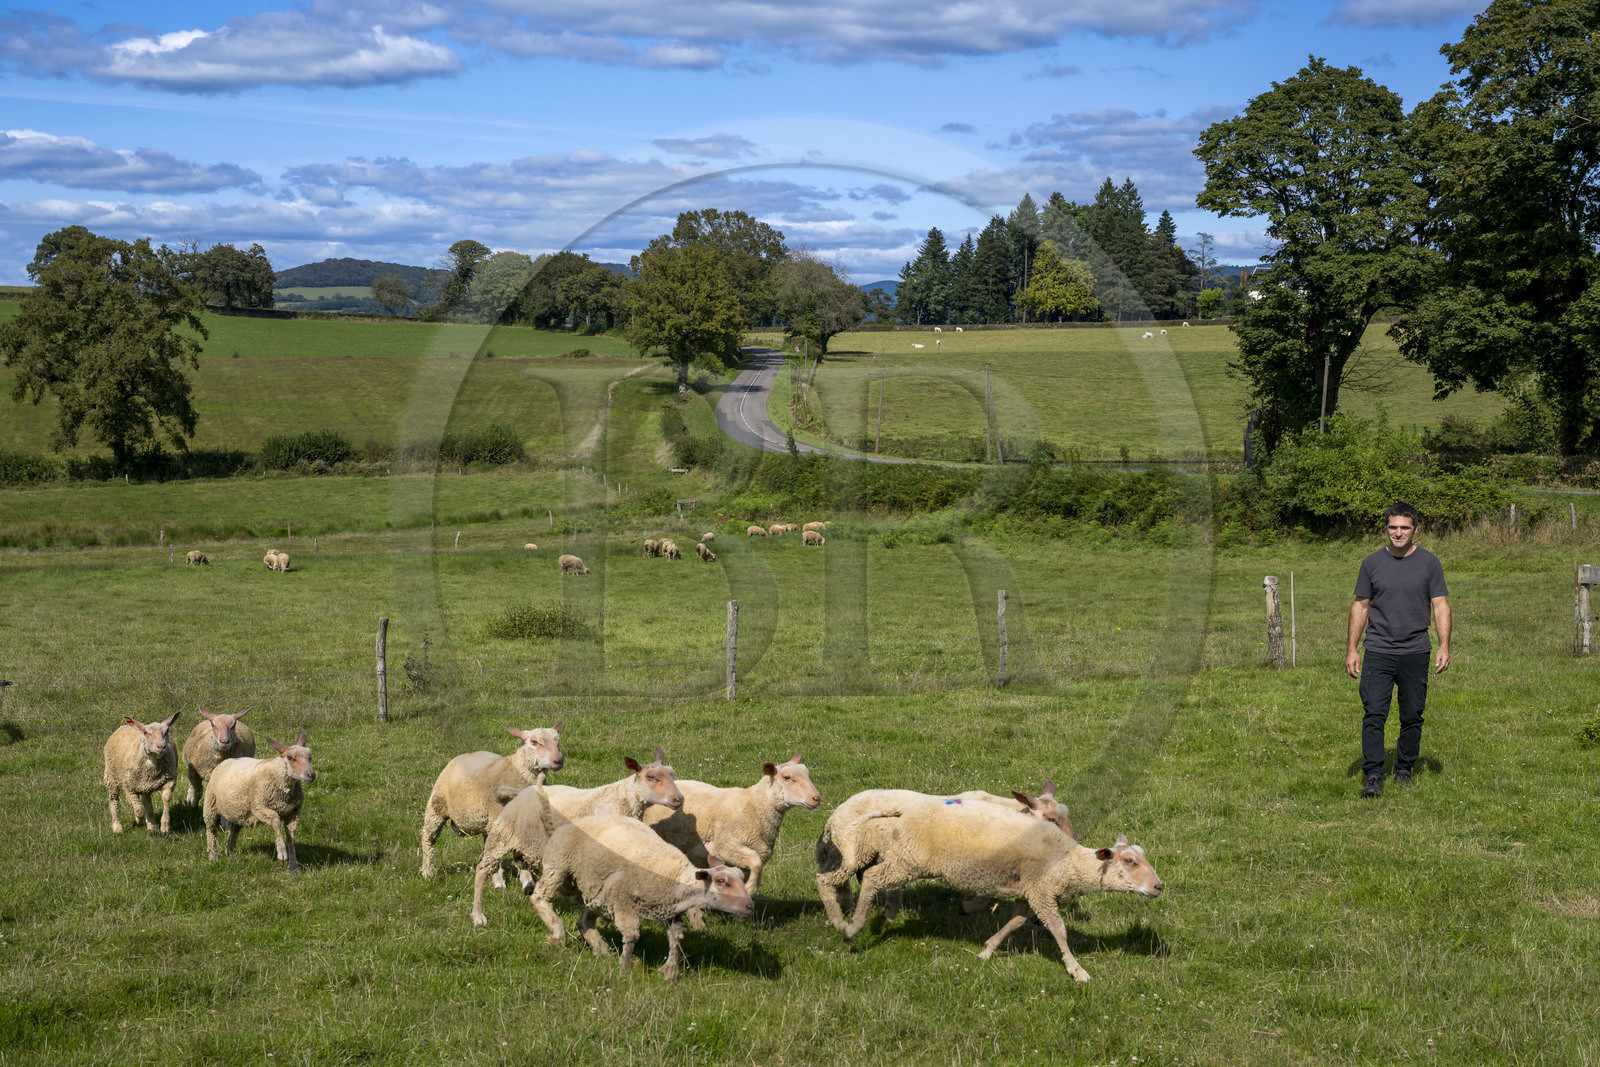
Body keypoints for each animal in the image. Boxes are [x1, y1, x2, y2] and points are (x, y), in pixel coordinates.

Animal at [203, 728, 317, 874]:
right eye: (291, 757)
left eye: (310, 757)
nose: (311, 775)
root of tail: (226, 760)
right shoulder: (259, 807)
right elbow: (276, 821)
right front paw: (282, 853)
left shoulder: (293, 813)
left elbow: (290, 838)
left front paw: (293, 866)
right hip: (211, 805)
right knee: (211, 830)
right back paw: (213, 857)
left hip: (238, 809)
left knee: (234, 829)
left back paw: (229, 852)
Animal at [420, 723, 564, 882]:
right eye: (534, 742)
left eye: (557, 740)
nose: (558, 761)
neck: (514, 769)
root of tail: (466, 754)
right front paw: (500, 881)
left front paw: (527, 880)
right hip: (437, 806)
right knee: (428, 837)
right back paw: (427, 871)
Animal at [531, 815, 754, 981]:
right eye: (721, 881)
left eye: (741, 877)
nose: (750, 907)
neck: (675, 876)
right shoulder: (623, 903)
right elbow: (632, 936)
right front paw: (624, 967)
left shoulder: (670, 912)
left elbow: (676, 938)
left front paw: (670, 972)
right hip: (559, 865)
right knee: (539, 897)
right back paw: (558, 931)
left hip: (598, 892)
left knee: (584, 921)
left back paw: (601, 950)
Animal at [643, 754, 820, 896]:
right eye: (787, 777)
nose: (816, 798)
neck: (754, 806)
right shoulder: (726, 847)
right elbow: (756, 863)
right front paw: (750, 889)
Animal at [818, 800, 1162, 981]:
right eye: (1129, 861)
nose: (1159, 887)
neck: (1068, 861)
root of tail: (904, 812)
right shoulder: (1041, 890)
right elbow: (1059, 930)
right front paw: (1077, 970)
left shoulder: (1028, 891)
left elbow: (1016, 922)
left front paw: (987, 949)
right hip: (909, 860)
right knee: (872, 878)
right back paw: (852, 927)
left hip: (904, 857)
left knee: (871, 877)